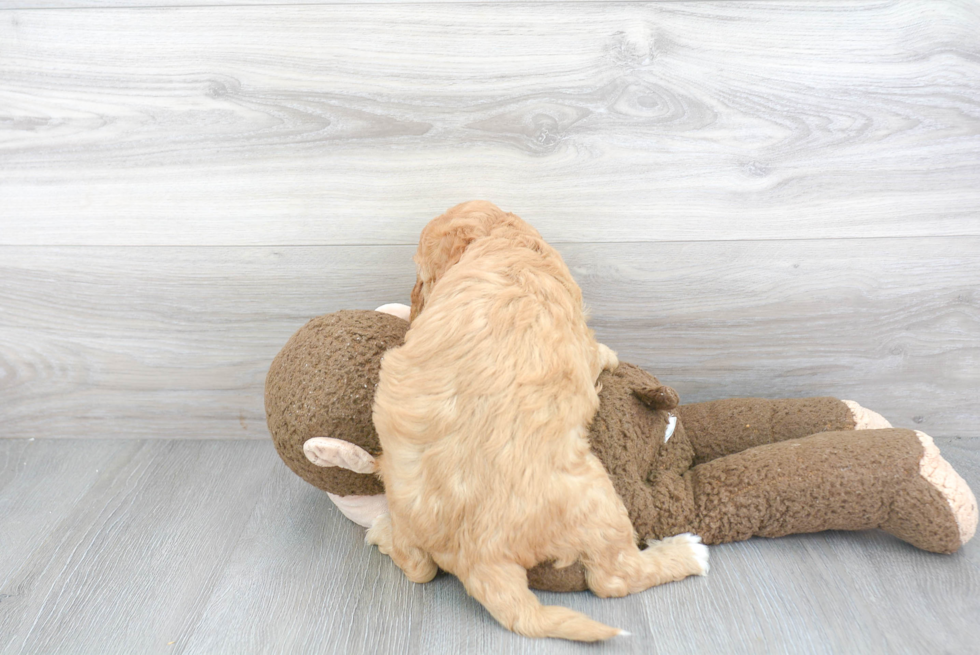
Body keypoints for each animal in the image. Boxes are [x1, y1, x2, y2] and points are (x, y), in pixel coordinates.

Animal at [368, 202, 704, 644]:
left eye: (421, 275)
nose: (411, 305)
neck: (504, 241)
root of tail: (478, 555)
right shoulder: (580, 337)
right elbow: (597, 351)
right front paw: (611, 355)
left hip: (402, 492)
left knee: (418, 566)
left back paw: (381, 533)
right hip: (599, 502)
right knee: (614, 577)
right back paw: (689, 553)